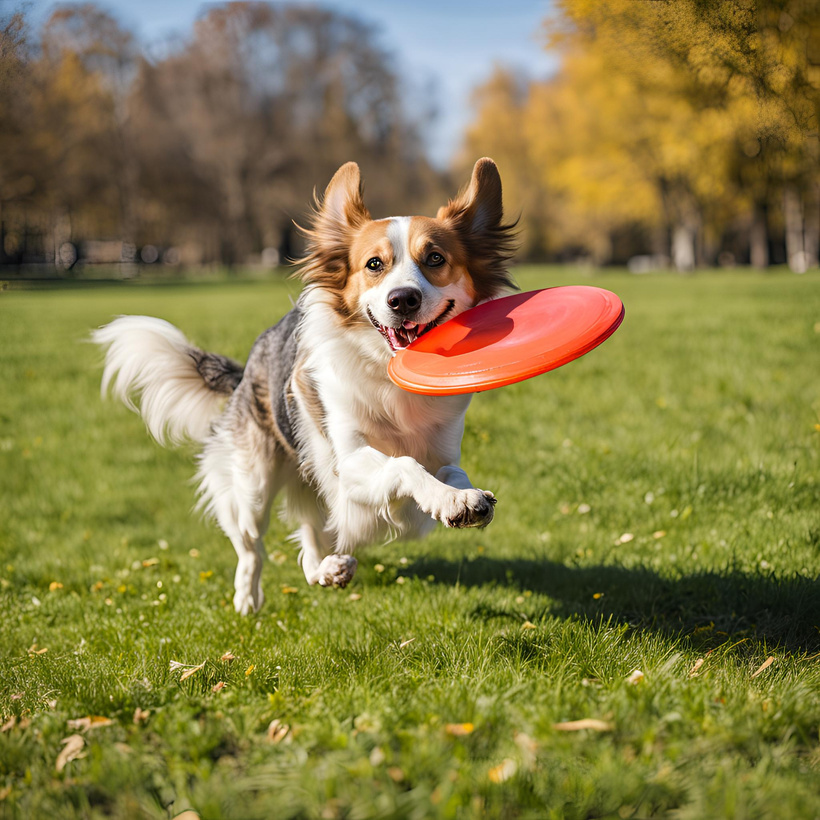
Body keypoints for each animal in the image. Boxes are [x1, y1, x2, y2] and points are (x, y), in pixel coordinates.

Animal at [94, 157, 512, 612]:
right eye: (374, 265)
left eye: (435, 258)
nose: (402, 299)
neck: (386, 374)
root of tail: (248, 368)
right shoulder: (348, 463)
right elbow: (403, 464)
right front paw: (448, 499)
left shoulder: (440, 448)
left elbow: (451, 470)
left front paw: (463, 497)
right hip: (255, 486)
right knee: (251, 545)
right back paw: (248, 597)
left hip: (309, 483)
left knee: (312, 542)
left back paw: (329, 570)